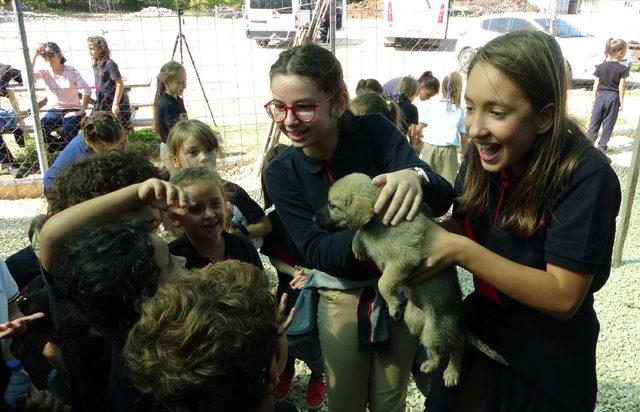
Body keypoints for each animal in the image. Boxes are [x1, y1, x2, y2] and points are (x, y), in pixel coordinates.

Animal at [316, 171, 504, 386]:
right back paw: (431, 364)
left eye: (332, 205)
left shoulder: (403, 259)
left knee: (457, 344)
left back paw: (452, 372)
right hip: (415, 321)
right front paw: (358, 248)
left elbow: (383, 282)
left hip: (435, 330)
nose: (313, 218)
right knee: (442, 348)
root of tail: (458, 319)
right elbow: (359, 233)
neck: (379, 220)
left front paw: (392, 304)